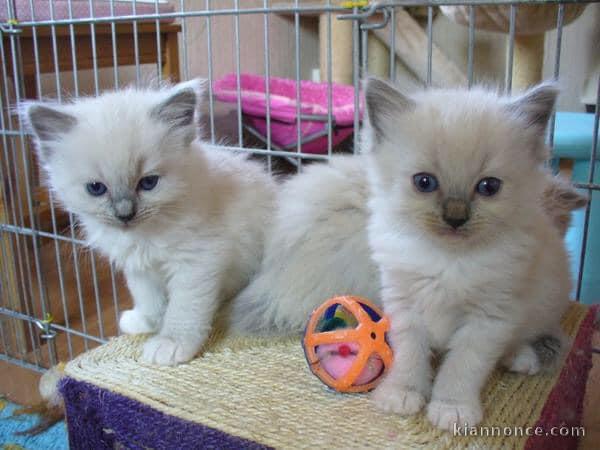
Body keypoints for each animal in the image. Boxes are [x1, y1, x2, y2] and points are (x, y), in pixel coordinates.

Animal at [24, 79, 276, 364]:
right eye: (96, 188)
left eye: (148, 183)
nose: (124, 214)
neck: (144, 235)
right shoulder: (139, 267)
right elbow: (149, 299)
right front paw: (147, 322)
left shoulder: (197, 261)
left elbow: (183, 308)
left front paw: (171, 343)